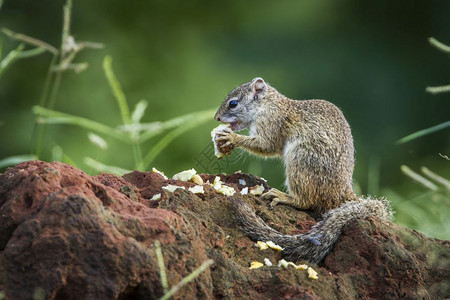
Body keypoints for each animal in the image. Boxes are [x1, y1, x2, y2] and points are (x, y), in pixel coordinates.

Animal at [213, 77, 392, 262]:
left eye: (233, 103)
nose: (216, 117)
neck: (268, 103)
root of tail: (341, 192)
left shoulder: (271, 122)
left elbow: (266, 145)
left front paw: (231, 137)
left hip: (300, 163)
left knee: (306, 202)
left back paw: (283, 196)